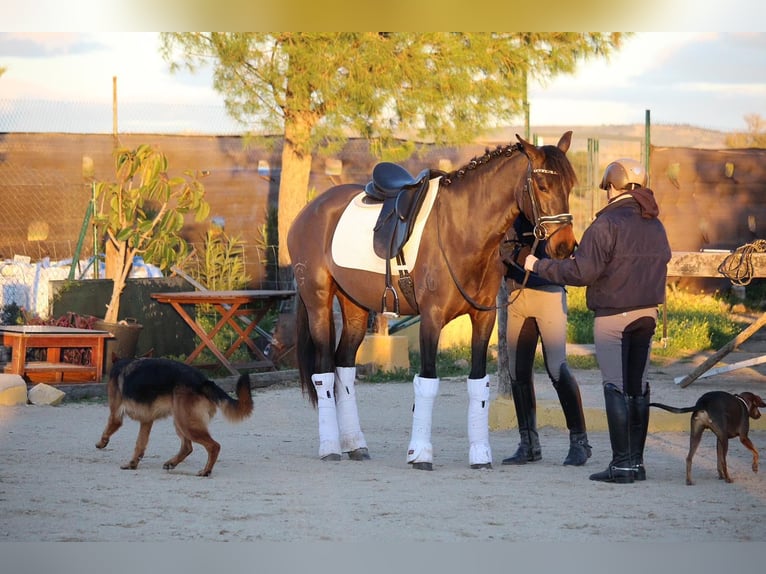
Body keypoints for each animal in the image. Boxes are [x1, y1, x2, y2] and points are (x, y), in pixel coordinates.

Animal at [96, 360, 255, 476]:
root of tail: (203, 381)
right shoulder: (146, 421)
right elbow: (140, 444)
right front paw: (132, 463)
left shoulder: (115, 415)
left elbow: (107, 429)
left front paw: (101, 443)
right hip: (180, 422)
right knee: (187, 447)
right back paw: (172, 463)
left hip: (185, 424)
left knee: (214, 446)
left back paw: (206, 471)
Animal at [288, 132, 576, 472]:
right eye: (542, 186)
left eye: (570, 185)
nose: (565, 246)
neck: (461, 230)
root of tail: (310, 210)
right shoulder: (431, 318)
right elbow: (426, 381)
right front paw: (420, 454)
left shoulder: (483, 319)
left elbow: (478, 383)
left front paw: (480, 455)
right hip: (318, 302)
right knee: (323, 373)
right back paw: (330, 447)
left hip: (355, 306)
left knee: (344, 367)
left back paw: (355, 445)